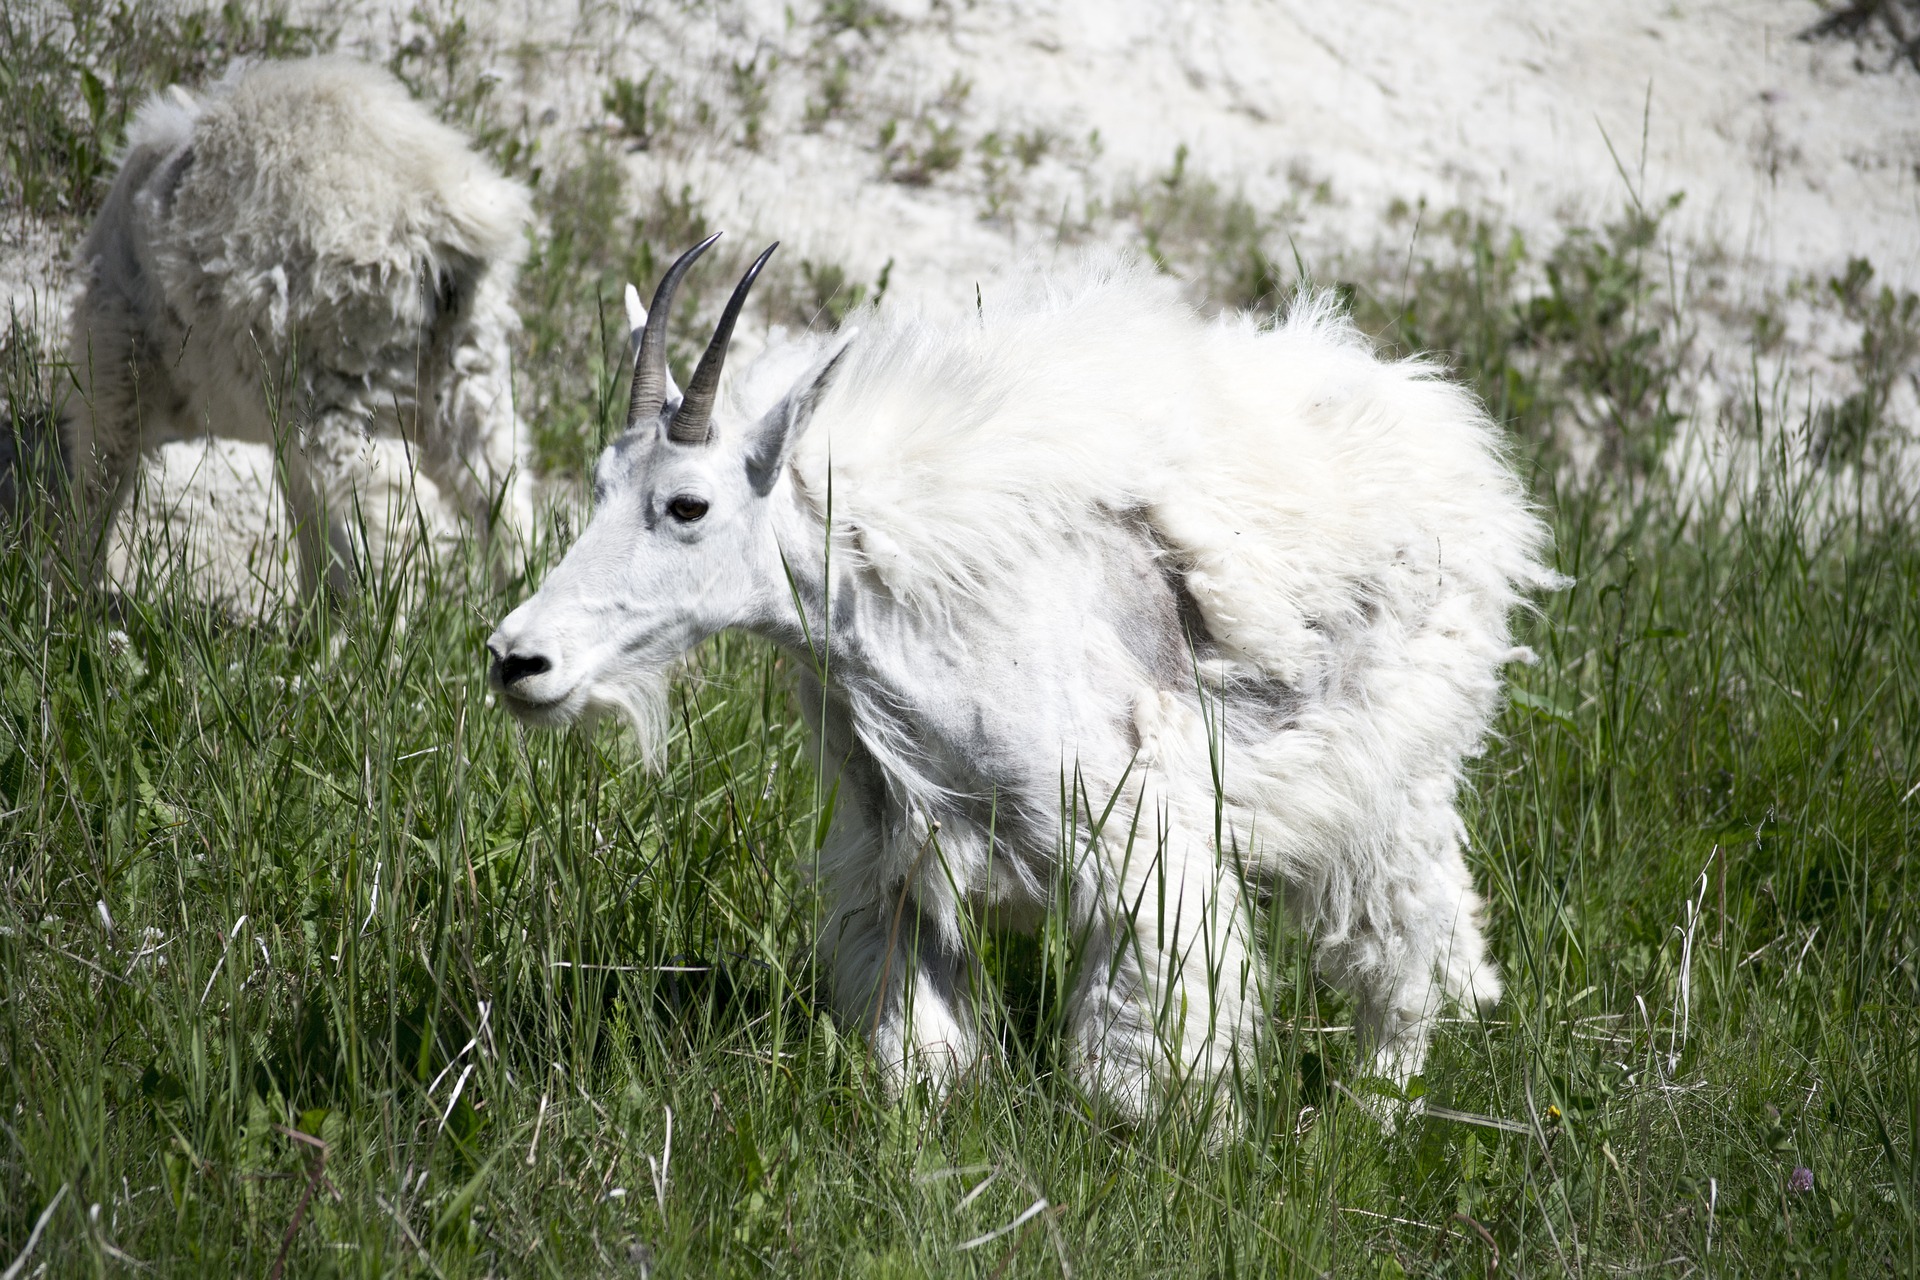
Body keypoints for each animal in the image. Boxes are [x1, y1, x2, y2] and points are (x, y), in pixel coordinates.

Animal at [62, 57, 533, 598]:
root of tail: (441, 216)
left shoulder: (115, 347)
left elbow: (101, 470)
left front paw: (71, 590)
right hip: (467, 366)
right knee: (501, 491)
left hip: (333, 375)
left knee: (371, 509)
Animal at [483, 239, 1559, 1120]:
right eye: (597, 486)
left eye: (688, 504)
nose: (518, 659)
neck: (893, 607)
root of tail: (1456, 442)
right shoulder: (898, 857)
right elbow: (919, 1043)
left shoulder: (1138, 842)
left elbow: (1133, 1056)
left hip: (1391, 773)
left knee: (1410, 933)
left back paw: (1376, 1105)